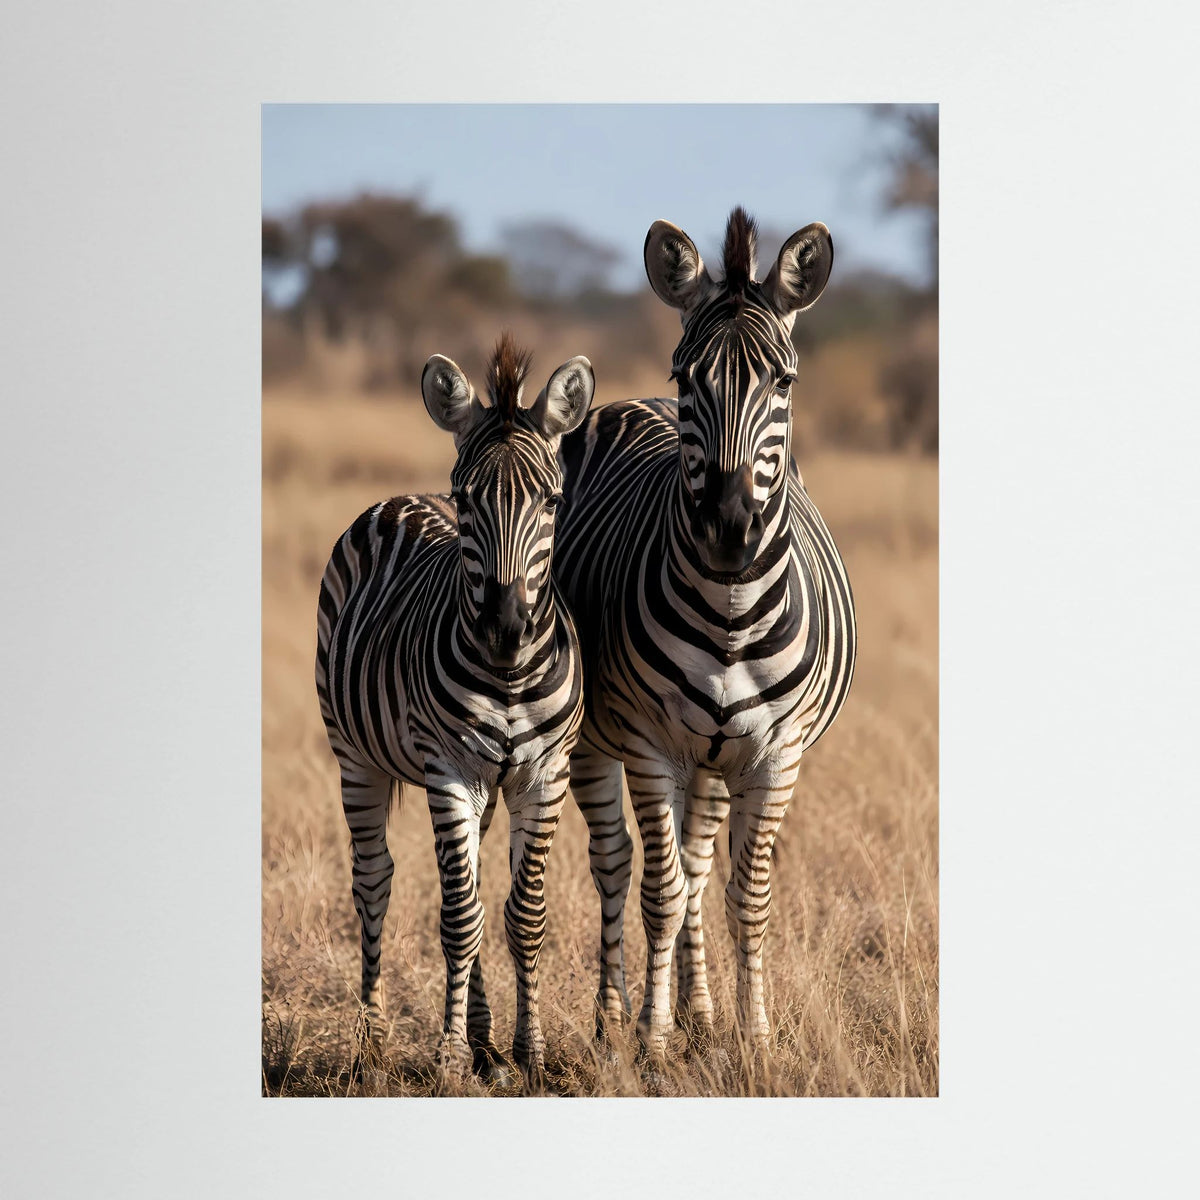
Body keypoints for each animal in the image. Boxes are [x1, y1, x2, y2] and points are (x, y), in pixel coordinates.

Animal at [315, 334, 593, 1086]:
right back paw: (372, 1044)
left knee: (469, 885)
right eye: (469, 500)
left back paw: (485, 1040)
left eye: (552, 500)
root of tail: (402, 498)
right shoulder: (448, 772)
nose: (505, 625)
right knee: (374, 881)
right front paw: (444, 1056)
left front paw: (528, 1053)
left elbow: (520, 914)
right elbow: (459, 919)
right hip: (353, 755)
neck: (509, 676)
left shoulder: (544, 775)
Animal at [554, 207, 856, 1058]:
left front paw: (752, 1036)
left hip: (716, 759)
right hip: (600, 741)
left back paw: (701, 1011)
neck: (730, 610)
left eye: (784, 382)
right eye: (687, 377)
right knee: (618, 864)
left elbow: (743, 894)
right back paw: (616, 1017)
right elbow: (658, 890)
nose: (728, 527)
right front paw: (652, 1044)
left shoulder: (776, 754)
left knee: (694, 861)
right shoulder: (649, 742)